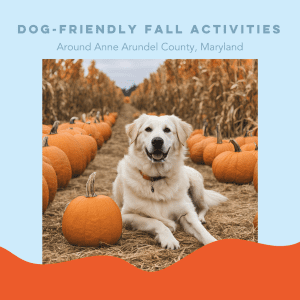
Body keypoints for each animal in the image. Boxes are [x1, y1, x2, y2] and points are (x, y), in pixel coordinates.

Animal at [112, 113, 227, 250]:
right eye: (148, 129)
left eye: (167, 130)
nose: (157, 141)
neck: (157, 177)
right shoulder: (125, 215)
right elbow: (155, 221)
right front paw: (169, 239)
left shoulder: (186, 212)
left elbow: (201, 230)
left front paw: (211, 240)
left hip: (197, 188)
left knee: (204, 207)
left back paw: (201, 217)